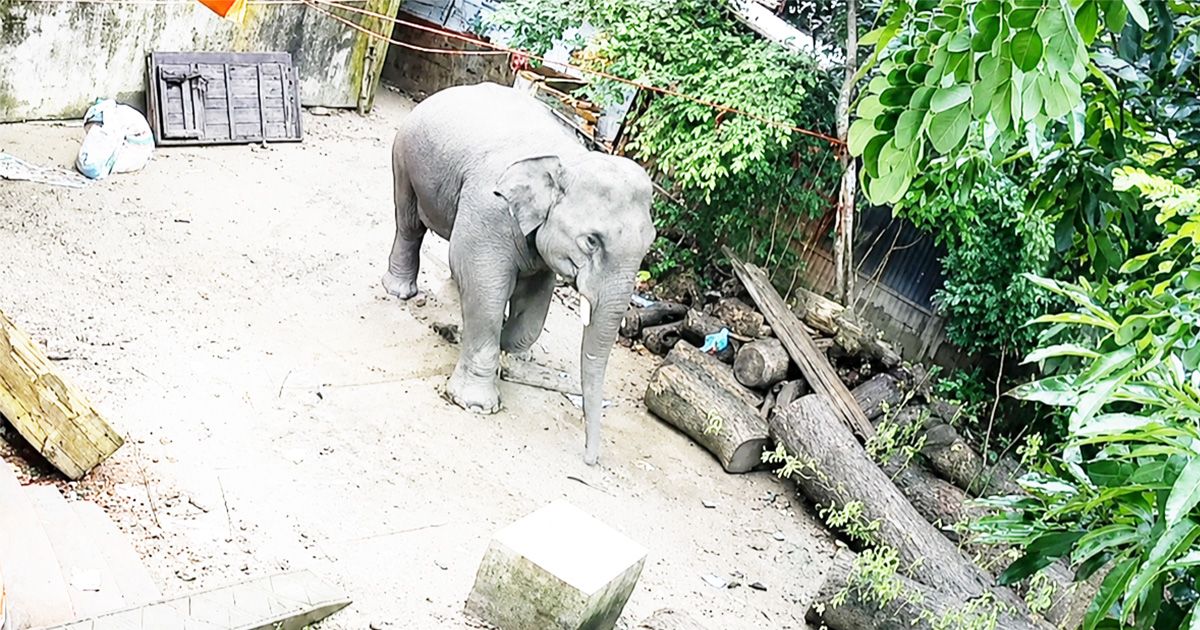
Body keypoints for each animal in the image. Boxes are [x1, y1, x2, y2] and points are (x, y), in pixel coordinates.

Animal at [382, 82, 656, 465]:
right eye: (591, 241)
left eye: (650, 245)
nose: (590, 461)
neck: (568, 158)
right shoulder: (489, 209)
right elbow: (482, 281)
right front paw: (476, 403)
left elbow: (535, 300)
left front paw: (508, 351)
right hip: (404, 156)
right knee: (408, 223)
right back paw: (400, 291)